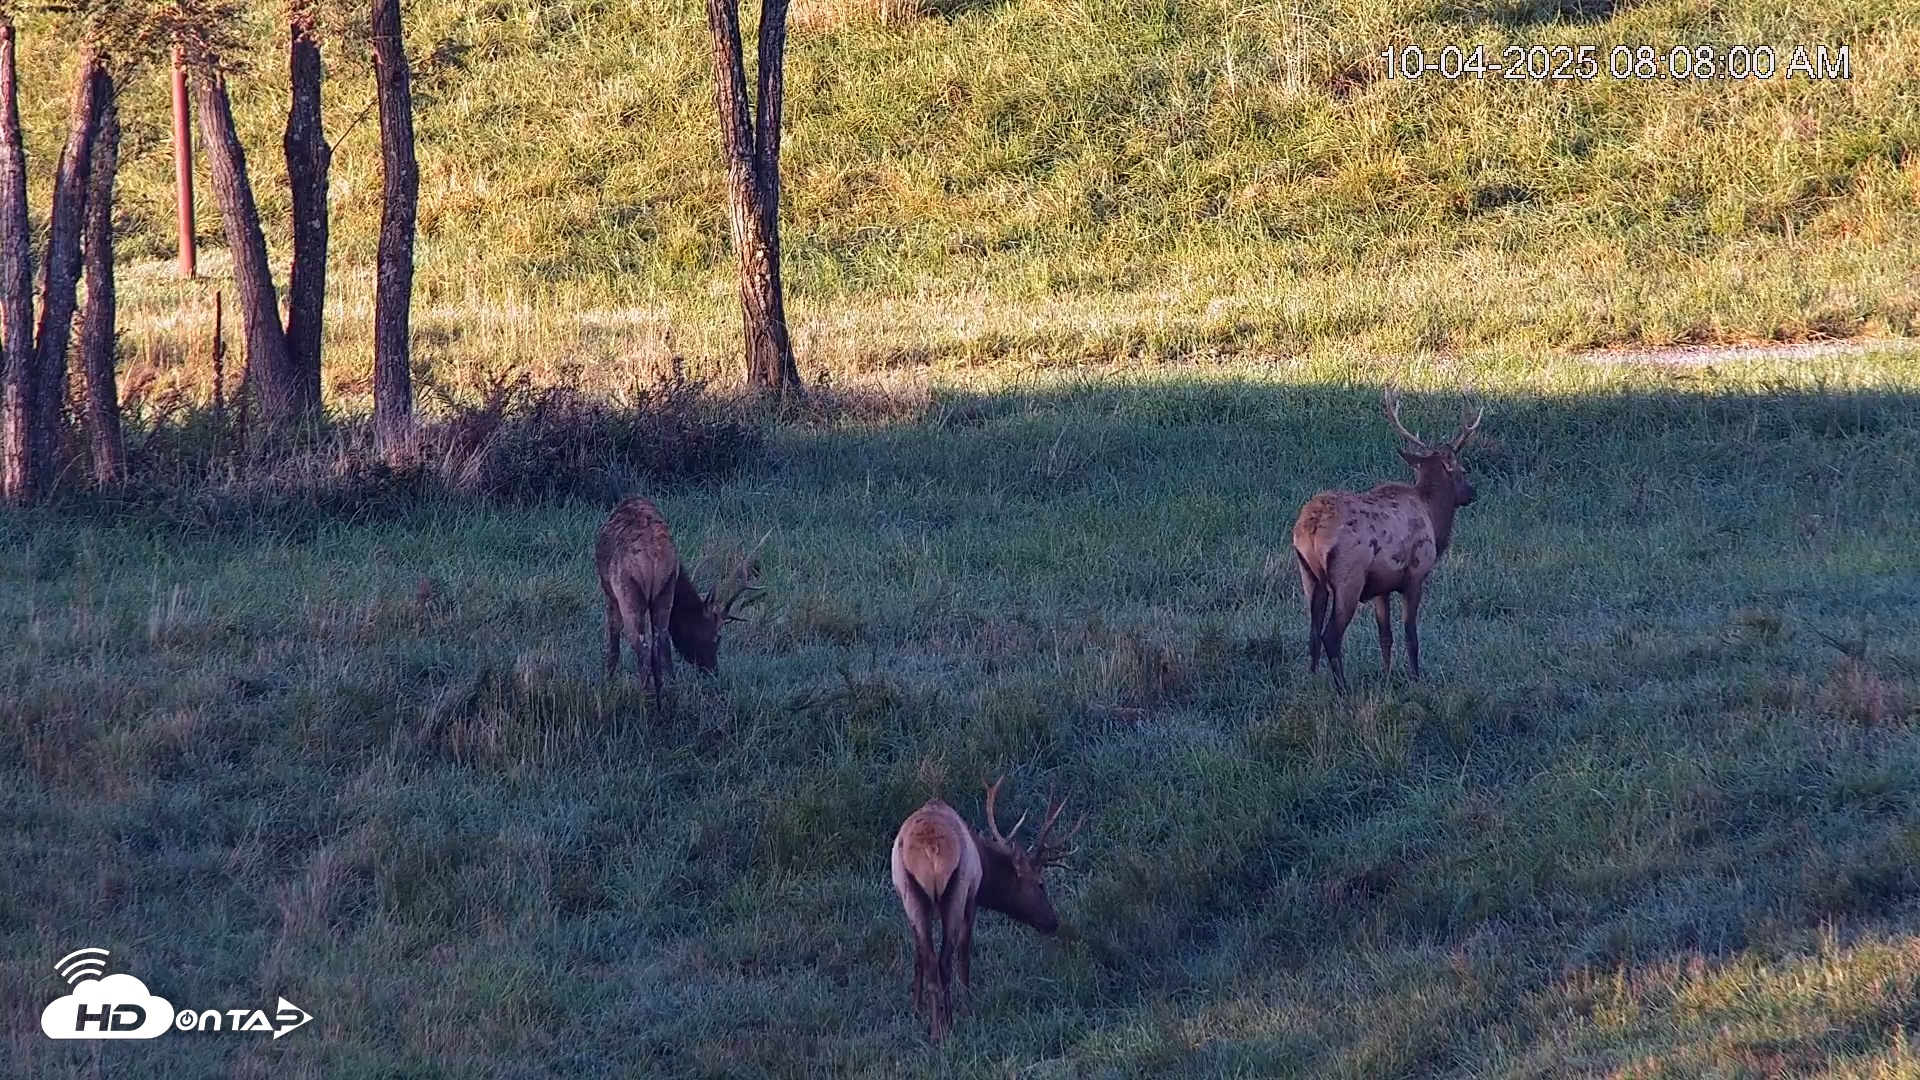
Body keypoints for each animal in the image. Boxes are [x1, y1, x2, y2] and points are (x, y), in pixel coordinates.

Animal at [593, 497, 766, 710]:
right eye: (717, 638)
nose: (713, 671)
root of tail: (653, 555)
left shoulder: (609, 590)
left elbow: (613, 642)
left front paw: (607, 685)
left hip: (627, 588)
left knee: (641, 645)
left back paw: (645, 701)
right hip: (665, 588)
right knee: (661, 641)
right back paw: (668, 697)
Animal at [890, 778, 1085, 1044]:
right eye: (1040, 883)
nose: (1053, 922)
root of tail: (930, 849)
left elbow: (917, 956)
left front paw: (916, 1008)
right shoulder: (972, 896)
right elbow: (964, 957)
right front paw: (967, 1007)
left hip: (913, 895)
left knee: (930, 960)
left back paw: (934, 1030)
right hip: (957, 892)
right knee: (945, 959)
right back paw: (949, 1022)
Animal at [1291, 389, 1483, 694]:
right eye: (1462, 470)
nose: (1471, 493)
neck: (1433, 515)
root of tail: (1310, 528)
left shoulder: (1381, 586)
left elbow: (1385, 636)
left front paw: (1386, 675)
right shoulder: (1415, 575)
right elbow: (1411, 636)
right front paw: (1415, 678)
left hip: (1308, 574)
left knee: (1312, 632)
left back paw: (1313, 681)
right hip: (1349, 575)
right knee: (1330, 635)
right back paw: (1343, 689)